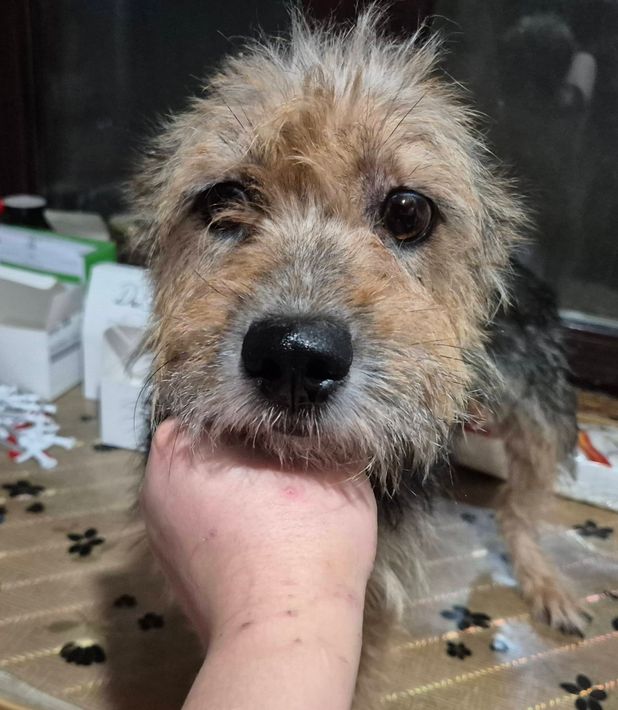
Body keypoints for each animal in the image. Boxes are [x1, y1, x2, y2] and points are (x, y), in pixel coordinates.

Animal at [131, 10, 584, 706]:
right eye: (221, 200)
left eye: (409, 211)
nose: (293, 358)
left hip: (539, 414)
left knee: (521, 509)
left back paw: (547, 582)